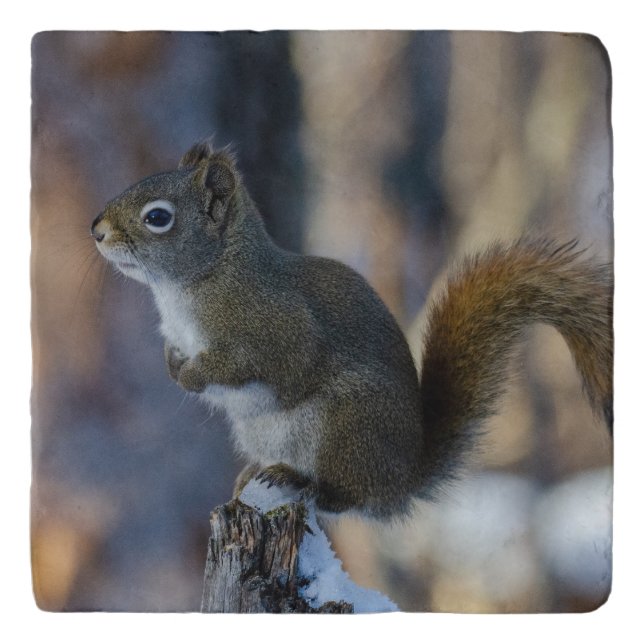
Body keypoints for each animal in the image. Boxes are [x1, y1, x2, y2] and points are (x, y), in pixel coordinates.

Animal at [91, 139, 613, 519]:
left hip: (346, 423)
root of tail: (403, 478)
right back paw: (253, 476)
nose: (96, 229)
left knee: (348, 497)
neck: (196, 282)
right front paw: (174, 367)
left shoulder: (276, 327)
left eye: (159, 217)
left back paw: (302, 482)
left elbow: (263, 362)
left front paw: (193, 376)